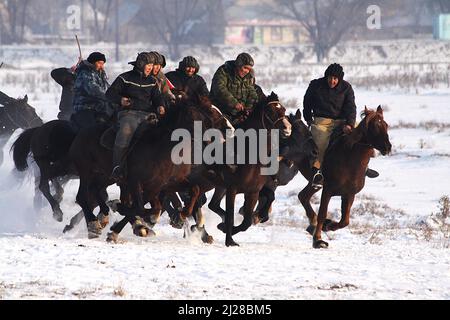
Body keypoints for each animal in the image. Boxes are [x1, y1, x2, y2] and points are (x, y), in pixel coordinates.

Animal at [300, 106, 392, 249]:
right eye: (374, 126)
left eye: (386, 125)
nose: (388, 147)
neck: (349, 159)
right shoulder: (327, 190)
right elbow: (322, 214)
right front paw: (318, 240)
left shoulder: (349, 194)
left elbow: (345, 221)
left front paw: (328, 225)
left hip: (314, 184)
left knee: (303, 196)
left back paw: (312, 226)